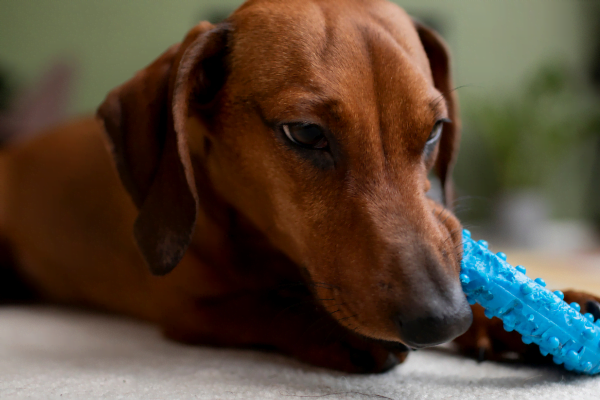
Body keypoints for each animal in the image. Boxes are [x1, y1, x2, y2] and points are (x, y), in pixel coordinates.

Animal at [1, 0, 600, 372]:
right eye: (306, 133)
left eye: (434, 130)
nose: (444, 319)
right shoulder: (187, 307)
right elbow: (263, 306)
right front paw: (337, 332)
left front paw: (548, 312)